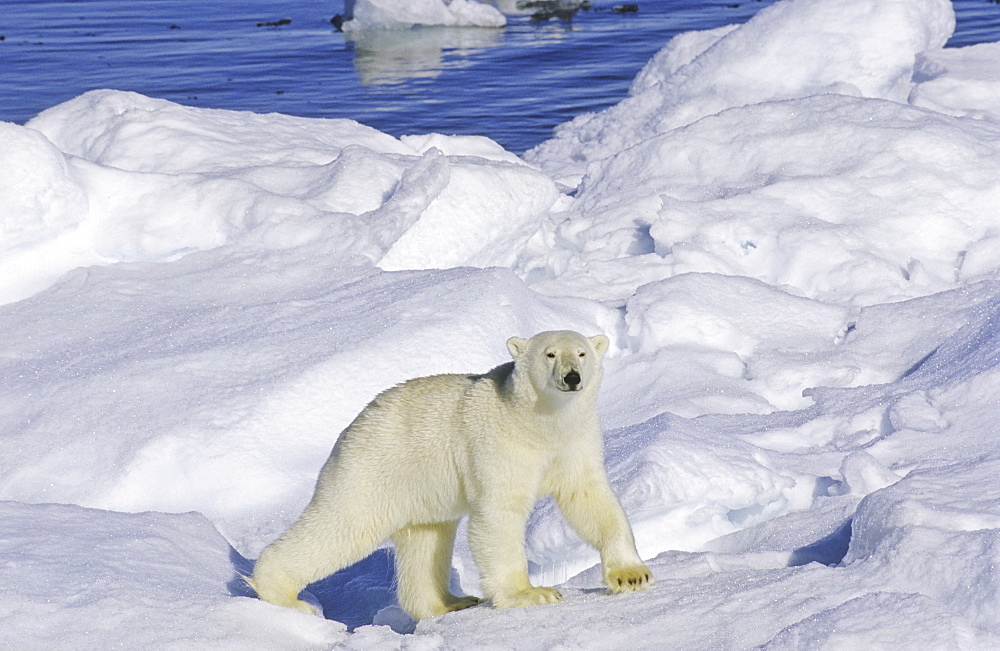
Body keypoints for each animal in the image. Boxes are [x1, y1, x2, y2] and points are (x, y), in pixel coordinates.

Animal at [247, 332, 652, 620]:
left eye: (582, 353)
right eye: (549, 354)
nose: (572, 377)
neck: (540, 423)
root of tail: (349, 431)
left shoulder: (574, 443)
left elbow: (592, 500)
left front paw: (632, 576)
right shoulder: (499, 445)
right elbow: (498, 515)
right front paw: (531, 594)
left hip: (420, 489)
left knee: (427, 541)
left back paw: (451, 602)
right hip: (373, 471)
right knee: (342, 527)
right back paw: (287, 597)